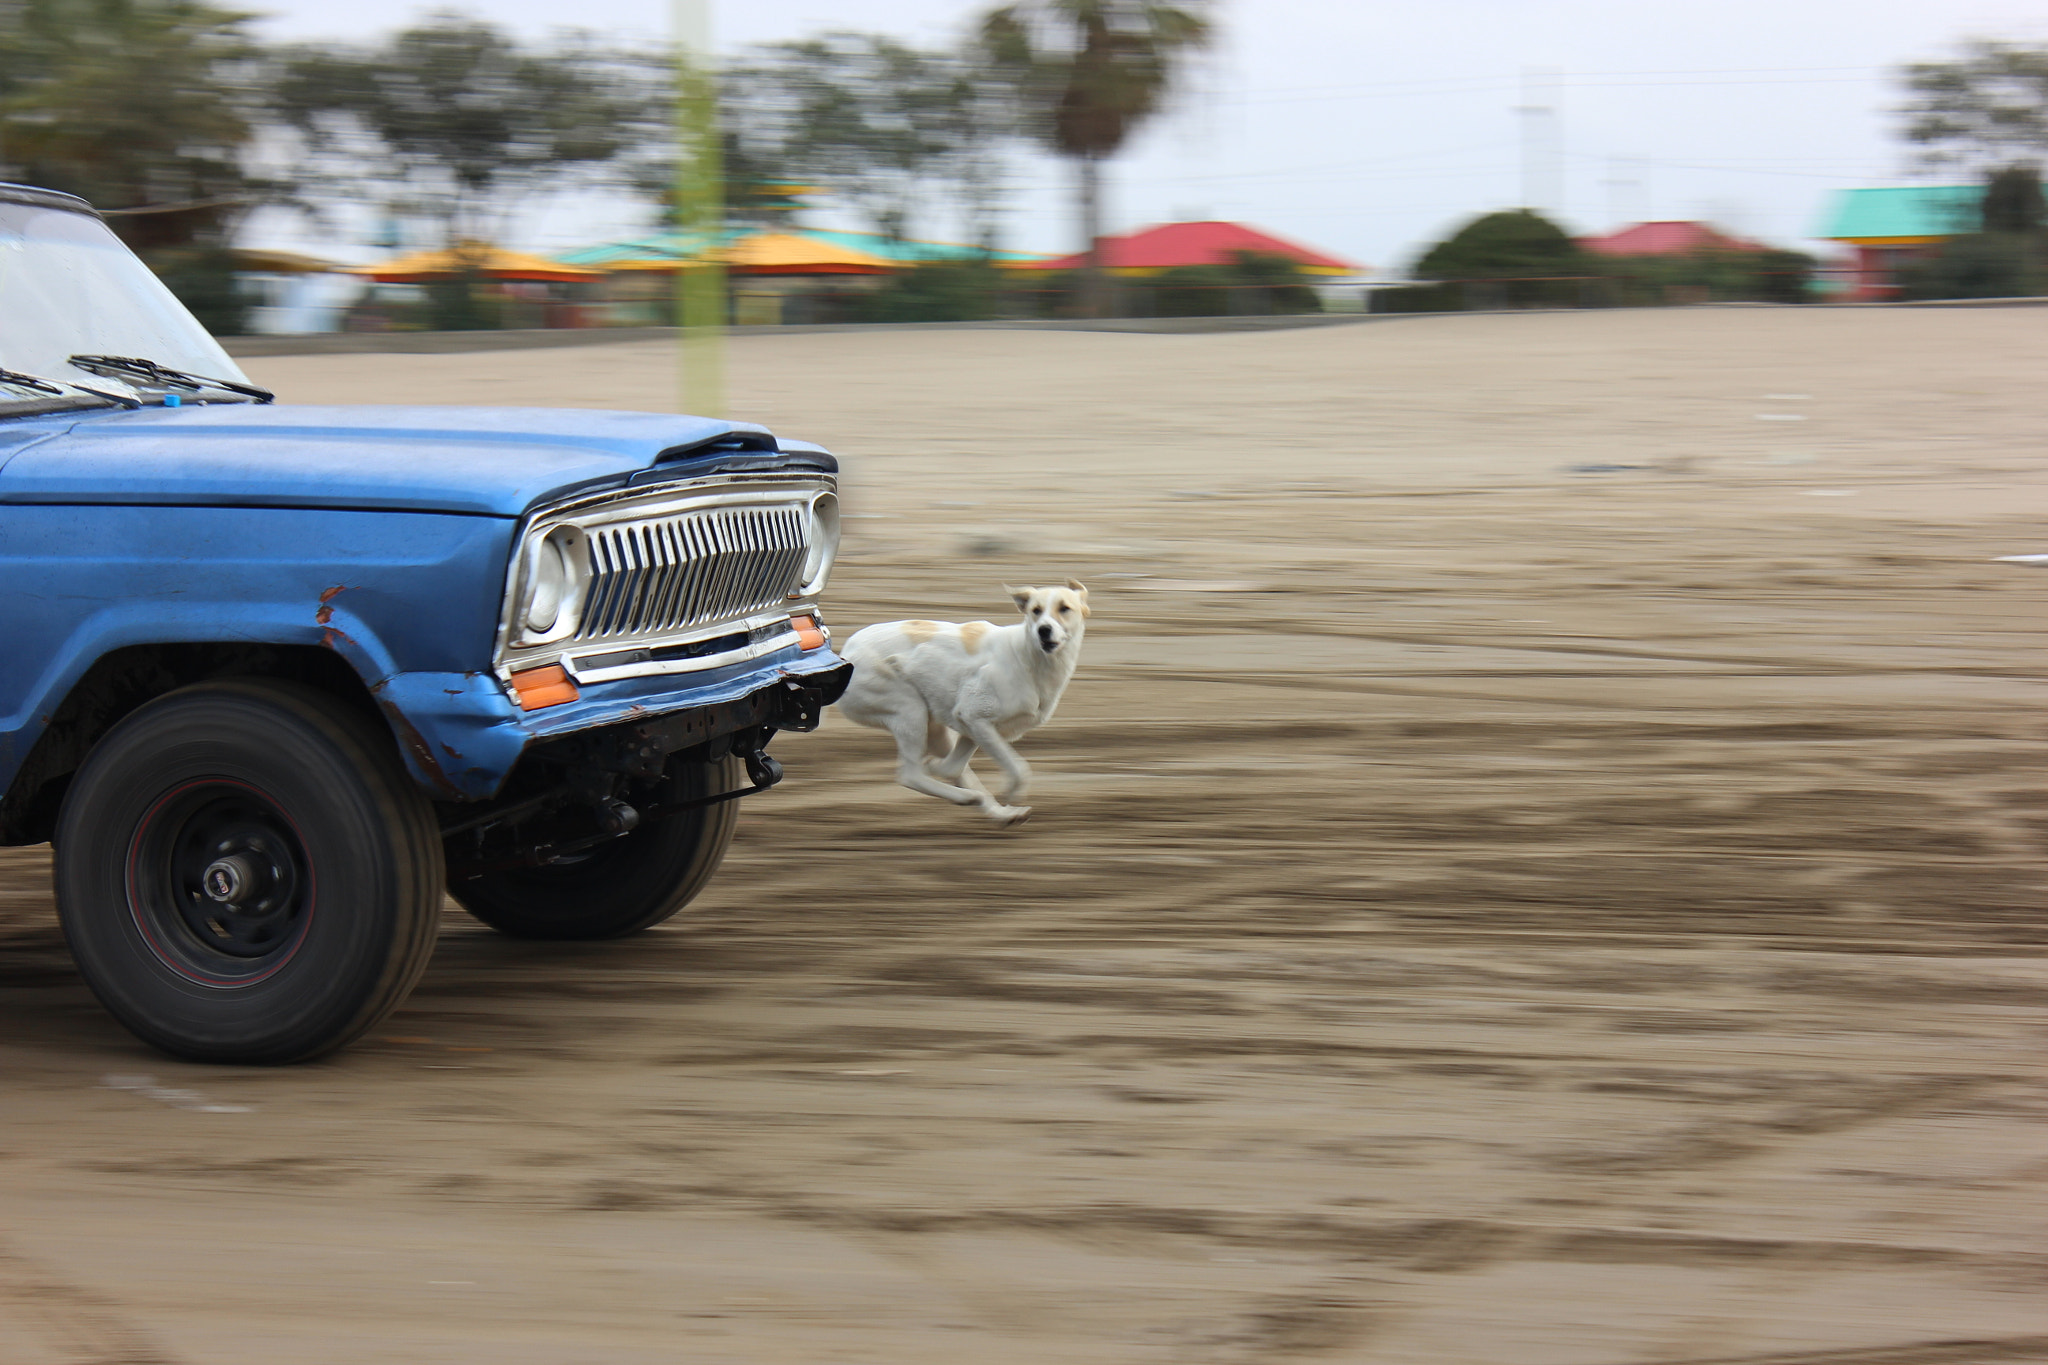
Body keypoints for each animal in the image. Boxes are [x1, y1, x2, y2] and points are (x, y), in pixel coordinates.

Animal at [831, 581, 1089, 826]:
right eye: (1035, 610)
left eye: (1064, 608)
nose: (1043, 630)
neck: (1027, 657)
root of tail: (845, 652)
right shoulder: (974, 716)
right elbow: (1019, 769)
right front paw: (1010, 791)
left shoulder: (972, 727)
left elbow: (952, 767)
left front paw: (940, 770)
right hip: (910, 711)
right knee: (910, 775)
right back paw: (968, 797)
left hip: (935, 730)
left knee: (949, 772)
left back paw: (998, 812)